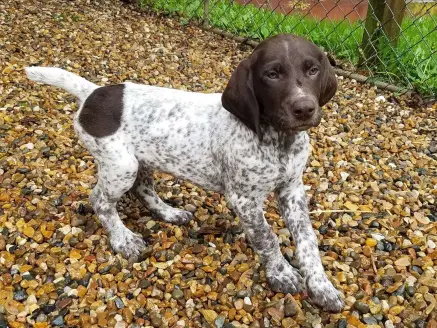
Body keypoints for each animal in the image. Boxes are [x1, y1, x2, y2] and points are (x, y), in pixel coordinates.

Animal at [25, 34, 342, 312]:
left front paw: (322, 286)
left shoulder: (292, 189)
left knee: (143, 190)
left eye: (313, 70)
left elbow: (307, 240)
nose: (304, 108)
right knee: (100, 200)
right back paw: (123, 239)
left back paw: (169, 213)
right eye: (272, 74)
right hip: (121, 165)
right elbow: (267, 237)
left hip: (142, 159)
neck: (278, 141)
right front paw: (281, 273)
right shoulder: (243, 198)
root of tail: (92, 93)